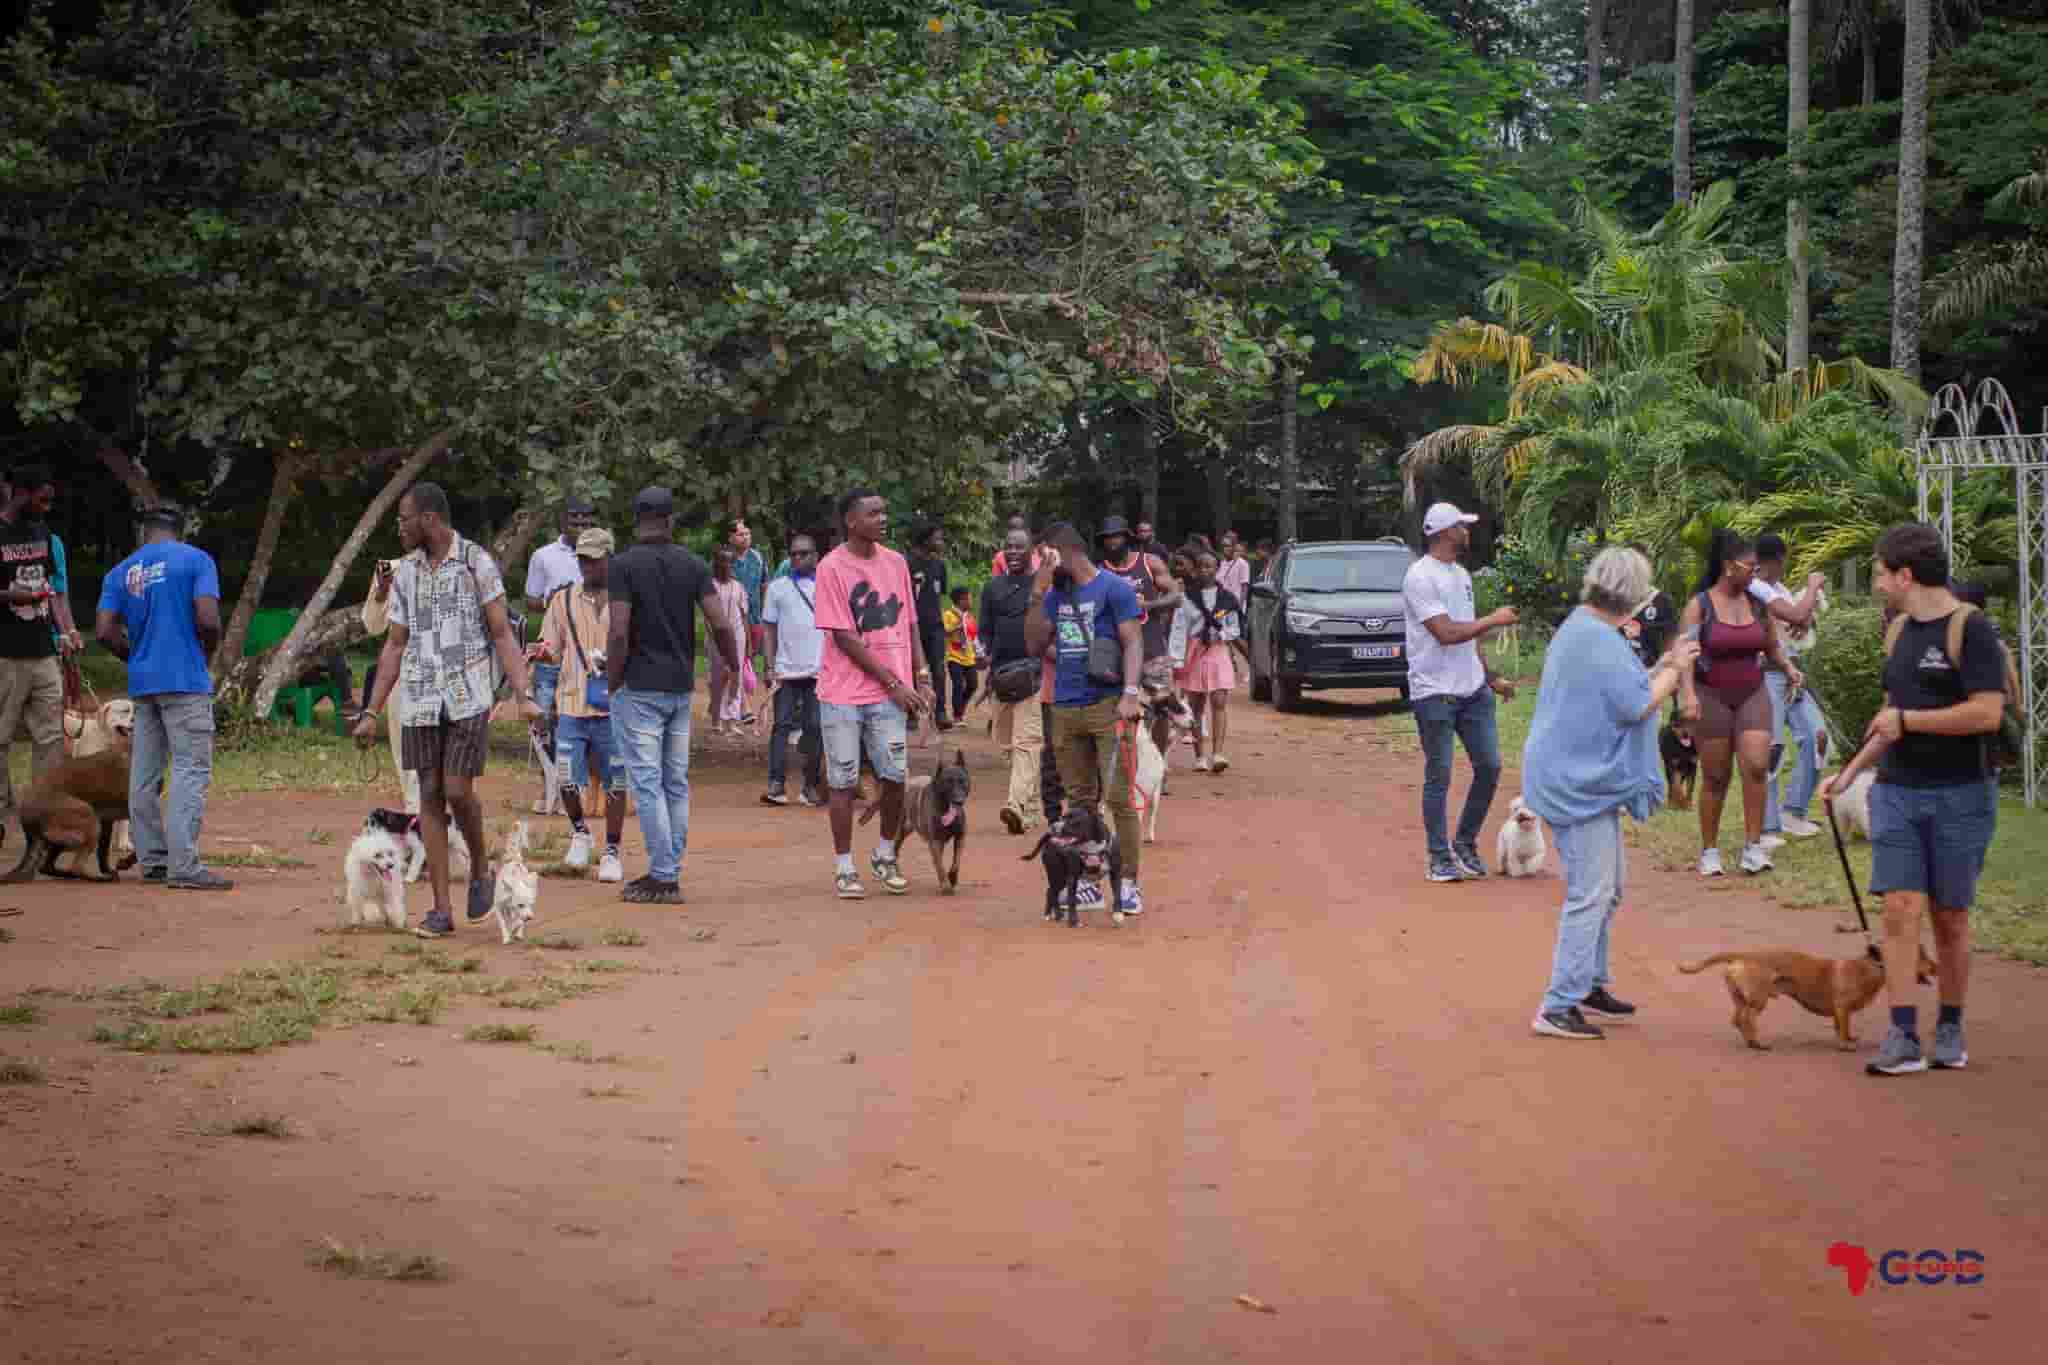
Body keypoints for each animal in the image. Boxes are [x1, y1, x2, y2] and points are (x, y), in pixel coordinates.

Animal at [4, 749, 134, 888]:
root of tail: (26, 817)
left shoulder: (107, 821)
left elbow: (103, 852)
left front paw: (113, 867)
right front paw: (123, 864)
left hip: (65, 838)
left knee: (47, 867)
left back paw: (71, 875)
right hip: (89, 818)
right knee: (76, 867)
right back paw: (100, 879)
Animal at [1679, 945, 1933, 1055]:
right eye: (1919, 957)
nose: (1937, 966)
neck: (1870, 967)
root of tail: (1744, 955)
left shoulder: (1841, 1012)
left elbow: (1841, 1027)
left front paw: (1849, 1038)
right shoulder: (1842, 1008)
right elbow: (1842, 1029)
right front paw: (1845, 1045)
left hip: (1742, 998)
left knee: (1737, 1019)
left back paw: (1751, 1041)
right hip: (1759, 1000)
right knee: (1747, 1019)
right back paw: (1758, 1043)